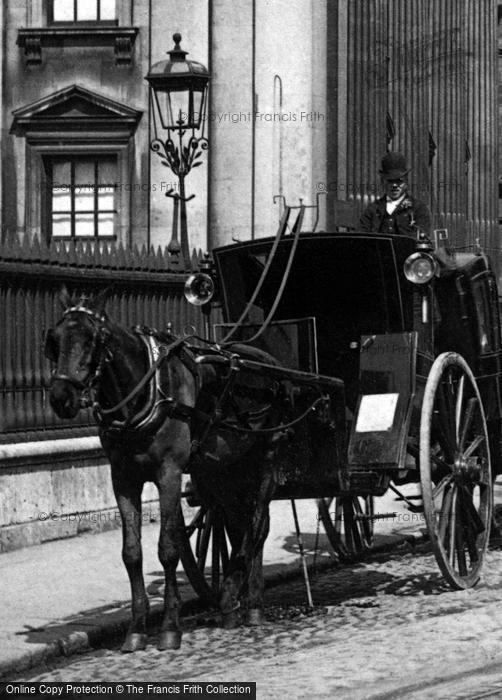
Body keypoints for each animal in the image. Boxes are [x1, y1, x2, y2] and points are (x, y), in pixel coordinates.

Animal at [44, 288, 286, 652]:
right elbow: (131, 552)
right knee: (240, 524)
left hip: (266, 455)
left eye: (92, 341)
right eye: (54, 340)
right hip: (223, 467)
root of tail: (266, 359)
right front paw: (136, 628)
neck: (146, 392)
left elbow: (168, 548)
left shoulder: (168, 474)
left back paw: (249, 603)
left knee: (256, 525)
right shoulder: (122, 478)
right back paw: (235, 602)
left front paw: (170, 626)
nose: (61, 397)